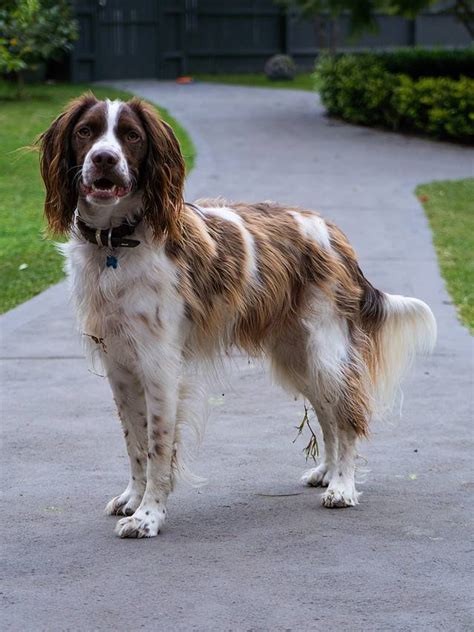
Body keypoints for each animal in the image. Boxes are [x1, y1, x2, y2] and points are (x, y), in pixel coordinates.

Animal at [39, 94, 436, 540]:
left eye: (131, 135)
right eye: (85, 132)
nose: (104, 159)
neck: (116, 245)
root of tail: (332, 232)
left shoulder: (160, 367)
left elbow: (158, 447)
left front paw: (148, 516)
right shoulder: (120, 366)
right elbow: (135, 444)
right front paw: (132, 498)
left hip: (325, 350)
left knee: (347, 416)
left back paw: (343, 487)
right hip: (297, 357)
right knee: (328, 414)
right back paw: (327, 472)